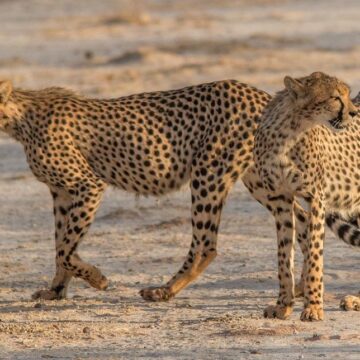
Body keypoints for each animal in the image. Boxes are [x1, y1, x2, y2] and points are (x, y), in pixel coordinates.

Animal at [0, 79, 358, 304]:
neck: (19, 119)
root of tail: (254, 91)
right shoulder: (61, 193)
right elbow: (61, 244)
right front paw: (56, 291)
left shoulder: (87, 185)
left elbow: (65, 248)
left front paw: (97, 279)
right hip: (260, 179)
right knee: (301, 220)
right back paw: (299, 288)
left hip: (208, 174)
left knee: (206, 244)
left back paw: (165, 290)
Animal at [255, 71, 358, 322]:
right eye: (335, 97)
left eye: (347, 94)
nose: (354, 112)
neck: (290, 132)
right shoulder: (280, 199)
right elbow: (284, 256)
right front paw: (283, 305)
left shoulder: (316, 198)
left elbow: (314, 254)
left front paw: (313, 307)